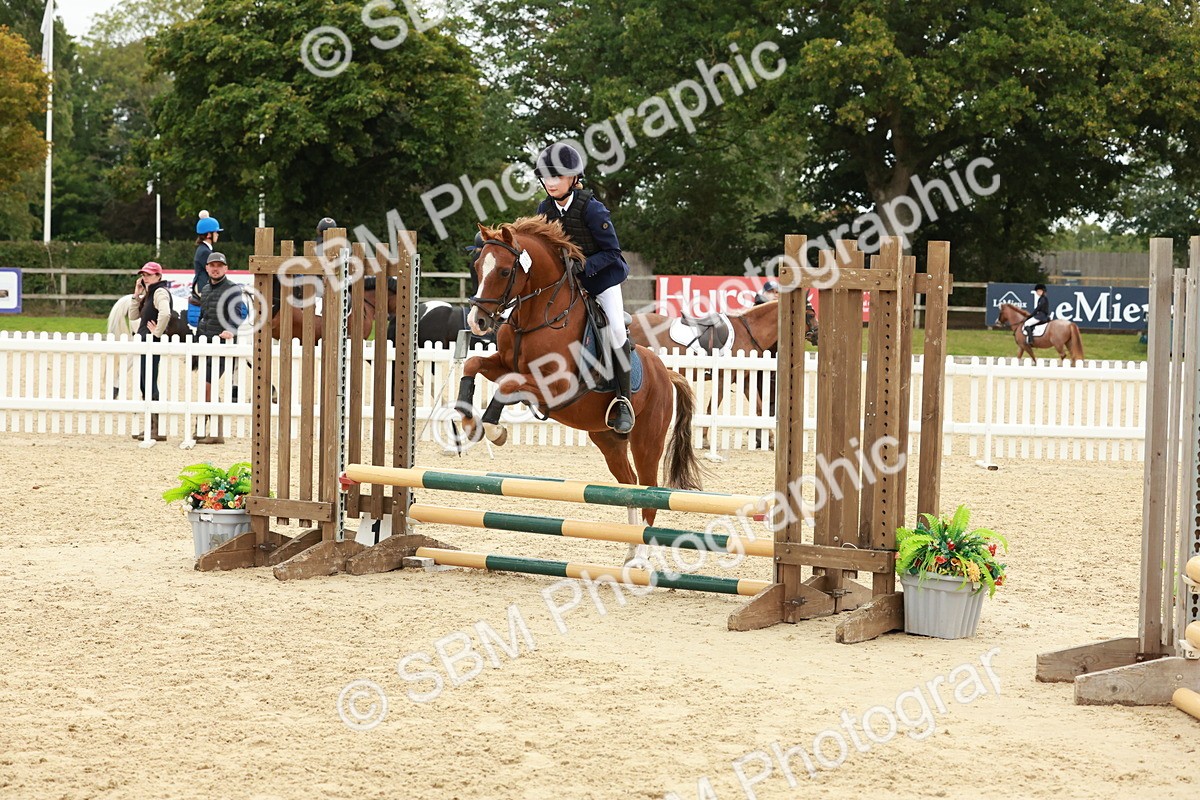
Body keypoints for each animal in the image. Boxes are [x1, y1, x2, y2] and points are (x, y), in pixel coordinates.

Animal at [457, 217, 702, 533]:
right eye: (477, 267)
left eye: (503, 271)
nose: (477, 321)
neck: (537, 318)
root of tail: (666, 373)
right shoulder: (504, 364)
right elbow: (472, 364)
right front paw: (468, 422)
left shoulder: (558, 386)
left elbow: (508, 386)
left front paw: (494, 429)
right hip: (607, 439)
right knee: (629, 486)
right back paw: (629, 544)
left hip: (647, 441)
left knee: (649, 494)